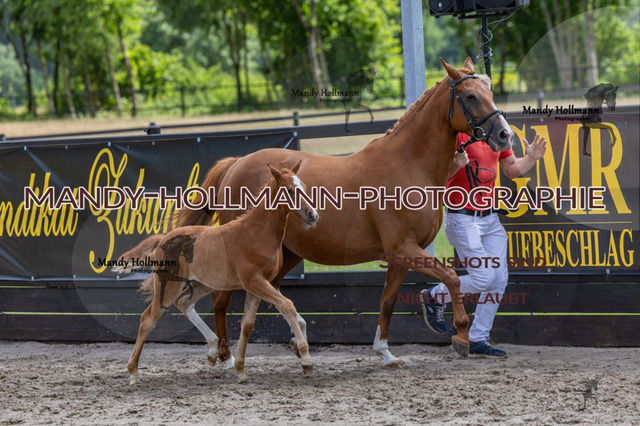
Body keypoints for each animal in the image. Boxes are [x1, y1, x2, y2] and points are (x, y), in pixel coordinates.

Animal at [114, 162, 319, 384]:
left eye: (304, 186)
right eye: (289, 190)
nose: (313, 215)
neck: (257, 233)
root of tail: (162, 239)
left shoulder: (259, 285)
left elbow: (247, 324)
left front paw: (240, 370)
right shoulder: (255, 282)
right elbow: (287, 305)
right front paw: (306, 358)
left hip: (203, 284)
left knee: (183, 303)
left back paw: (212, 350)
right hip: (169, 286)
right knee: (148, 319)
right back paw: (133, 373)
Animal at [177, 57, 514, 368]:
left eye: (489, 91)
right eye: (470, 96)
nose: (505, 135)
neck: (409, 164)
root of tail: (236, 163)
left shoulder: (400, 256)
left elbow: (388, 302)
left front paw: (384, 352)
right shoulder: (404, 248)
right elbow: (452, 278)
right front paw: (461, 335)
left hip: (284, 255)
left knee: (266, 295)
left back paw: (287, 342)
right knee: (221, 300)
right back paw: (223, 355)